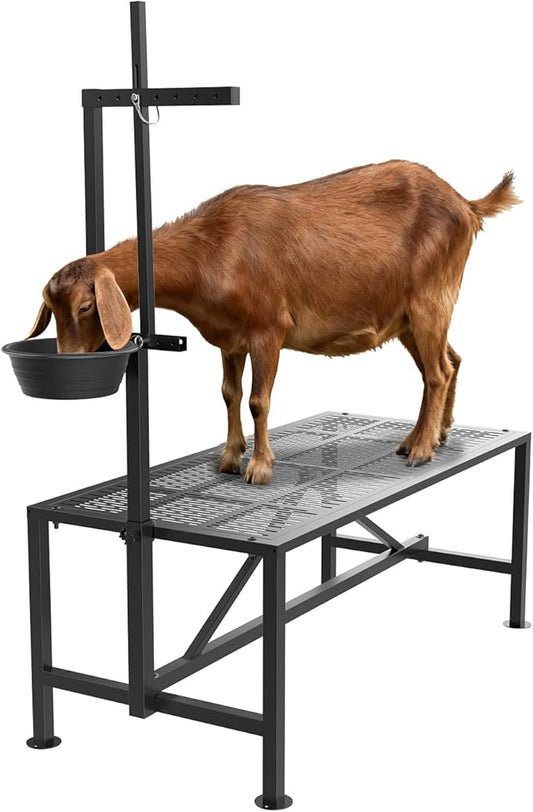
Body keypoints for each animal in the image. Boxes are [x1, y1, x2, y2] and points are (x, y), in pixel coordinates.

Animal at [28, 159, 520, 484]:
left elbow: (258, 400)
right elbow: (228, 394)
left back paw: (420, 450)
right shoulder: (228, 339)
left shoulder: (268, 329)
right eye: (50, 307)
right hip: (408, 318)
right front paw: (229, 458)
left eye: (86, 307)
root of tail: (466, 204)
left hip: (429, 301)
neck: (213, 249)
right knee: (450, 361)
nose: (69, 358)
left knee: (437, 372)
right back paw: (431, 435)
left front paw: (259, 468)